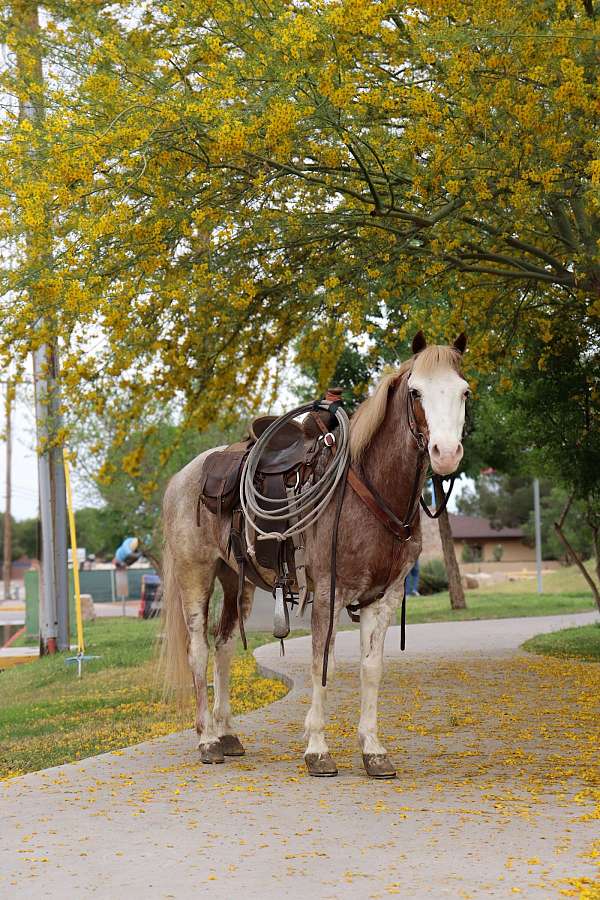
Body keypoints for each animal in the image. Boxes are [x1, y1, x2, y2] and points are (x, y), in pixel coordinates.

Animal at [161, 331, 470, 778]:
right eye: (416, 391)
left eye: (465, 391)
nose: (446, 453)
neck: (371, 488)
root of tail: (182, 478)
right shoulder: (328, 591)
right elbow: (322, 665)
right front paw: (318, 749)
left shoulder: (385, 596)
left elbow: (371, 669)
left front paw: (373, 750)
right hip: (195, 574)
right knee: (199, 650)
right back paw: (207, 741)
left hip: (237, 580)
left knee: (223, 646)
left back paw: (228, 734)